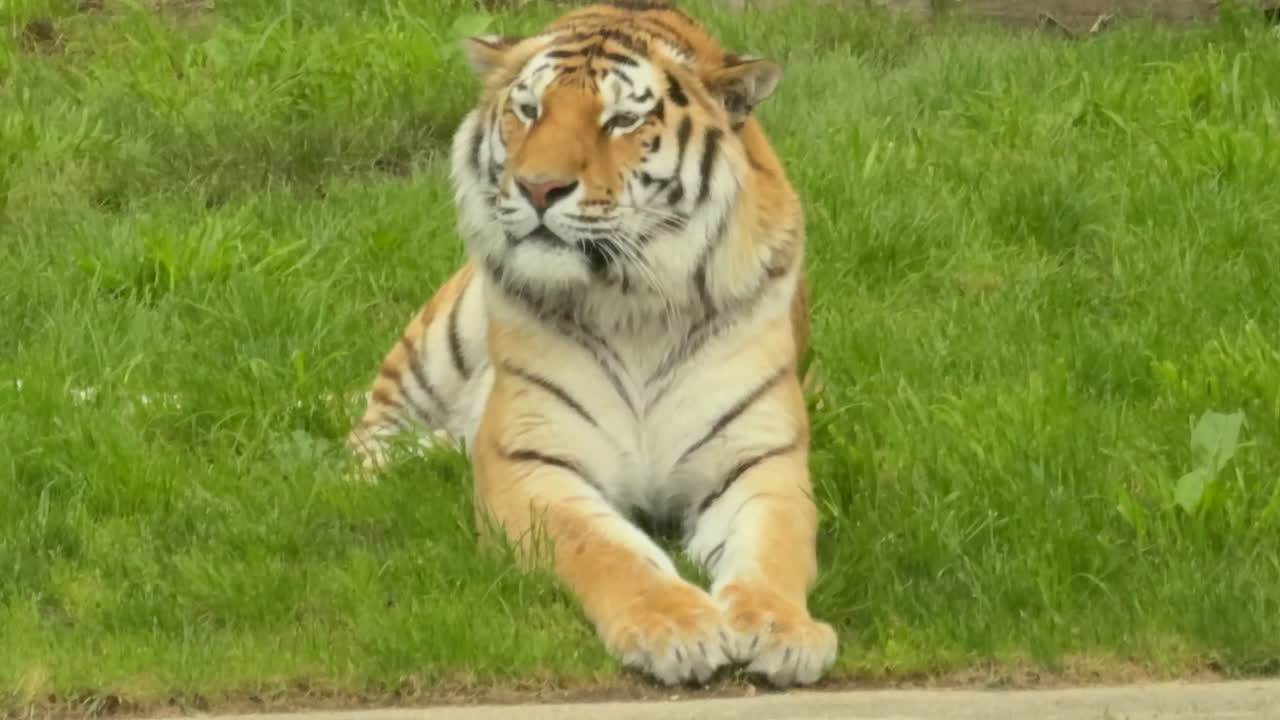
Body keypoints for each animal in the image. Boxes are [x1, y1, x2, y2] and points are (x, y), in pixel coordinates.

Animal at [346, 0, 837, 688]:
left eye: (623, 119)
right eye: (529, 110)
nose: (538, 188)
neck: (634, 302)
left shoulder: (760, 459)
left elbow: (774, 547)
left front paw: (782, 629)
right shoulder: (533, 460)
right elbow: (608, 550)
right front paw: (675, 628)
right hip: (435, 346)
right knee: (370, 434)